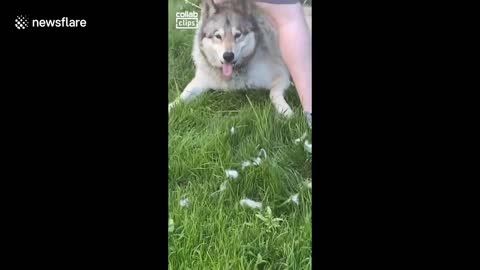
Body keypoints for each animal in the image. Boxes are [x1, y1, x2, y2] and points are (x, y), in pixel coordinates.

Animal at [168, 0, 312, 118]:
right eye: (218, 36)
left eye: (238, 35)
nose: (228, 56)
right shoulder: (201, 80)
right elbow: (183, 95)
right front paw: (171, 106)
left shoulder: (281, 75)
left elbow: (273, 93)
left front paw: (284, 110)